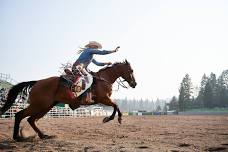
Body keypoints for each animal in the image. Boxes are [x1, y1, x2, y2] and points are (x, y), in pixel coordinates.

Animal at [0, 59, 136, 141]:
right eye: (131, 70)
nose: (135, 83)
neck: (103, 79)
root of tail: (37, 82)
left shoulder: (103, 100)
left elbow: (115, 106)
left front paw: (113, 118)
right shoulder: (103, 99)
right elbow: (116, 105)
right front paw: (111, 118)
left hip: (46, 107)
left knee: (31, 120)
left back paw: (43, 135)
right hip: (38, 105)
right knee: (19, 115)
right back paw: (17, 137)